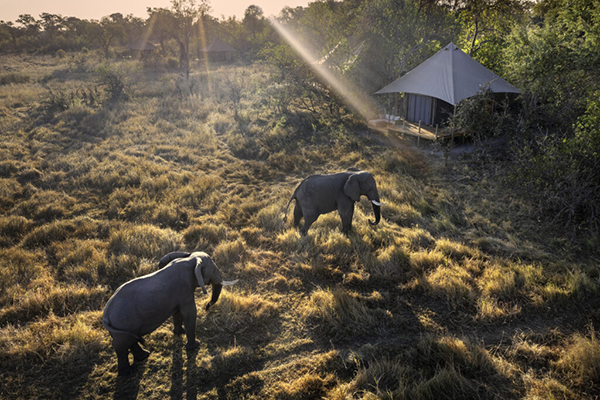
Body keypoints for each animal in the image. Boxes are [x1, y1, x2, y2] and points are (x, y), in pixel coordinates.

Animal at [103, 252, 237, 376]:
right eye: (214, 269)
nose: (207, 307)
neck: (190, 260)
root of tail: (106, 315)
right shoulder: (185, 290)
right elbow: (189, 313)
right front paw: (195, 346)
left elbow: (177, 312)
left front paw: (179, 333)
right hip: (122, 322)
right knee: (121, 346)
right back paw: (127, 373)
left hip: (121, 326)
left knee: (129, 341)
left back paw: (144, 357)